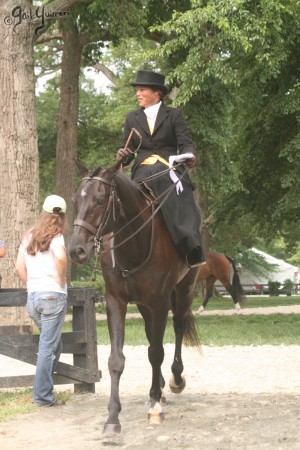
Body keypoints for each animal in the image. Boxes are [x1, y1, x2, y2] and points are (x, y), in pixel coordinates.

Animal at [69, 161, 200, 436]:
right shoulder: (116, 302)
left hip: (184, 289)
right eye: (76, 200)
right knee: (152, 335)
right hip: (143, 304)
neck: (135, 244)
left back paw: (175, 379)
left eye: (100, 200)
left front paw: (155, 408)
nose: (76, 250)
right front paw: (112, 419)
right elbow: (117, 360)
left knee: (178, 327)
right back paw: (158, 388)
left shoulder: (160, 302)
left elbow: (157, 352)